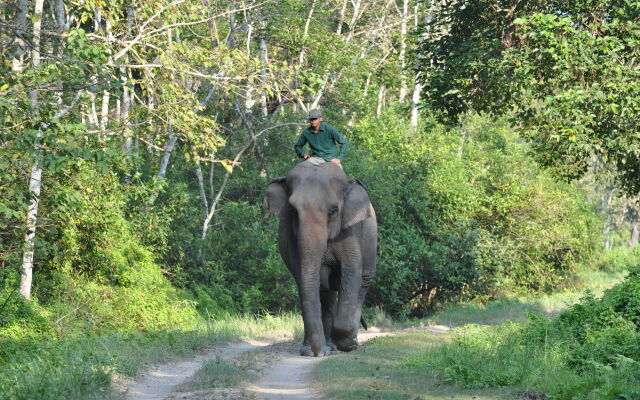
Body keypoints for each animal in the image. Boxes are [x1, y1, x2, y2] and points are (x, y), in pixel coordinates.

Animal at [264, 160, 378, 356]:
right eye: (293, 211)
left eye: (333, 211)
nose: (319, 353)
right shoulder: (292, 238)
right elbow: (305, 279)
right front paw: (312, 352)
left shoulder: (349, 232)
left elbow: (351, 272)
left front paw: (349, 345)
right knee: (325, 292)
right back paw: (325, 347)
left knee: (362, 283)